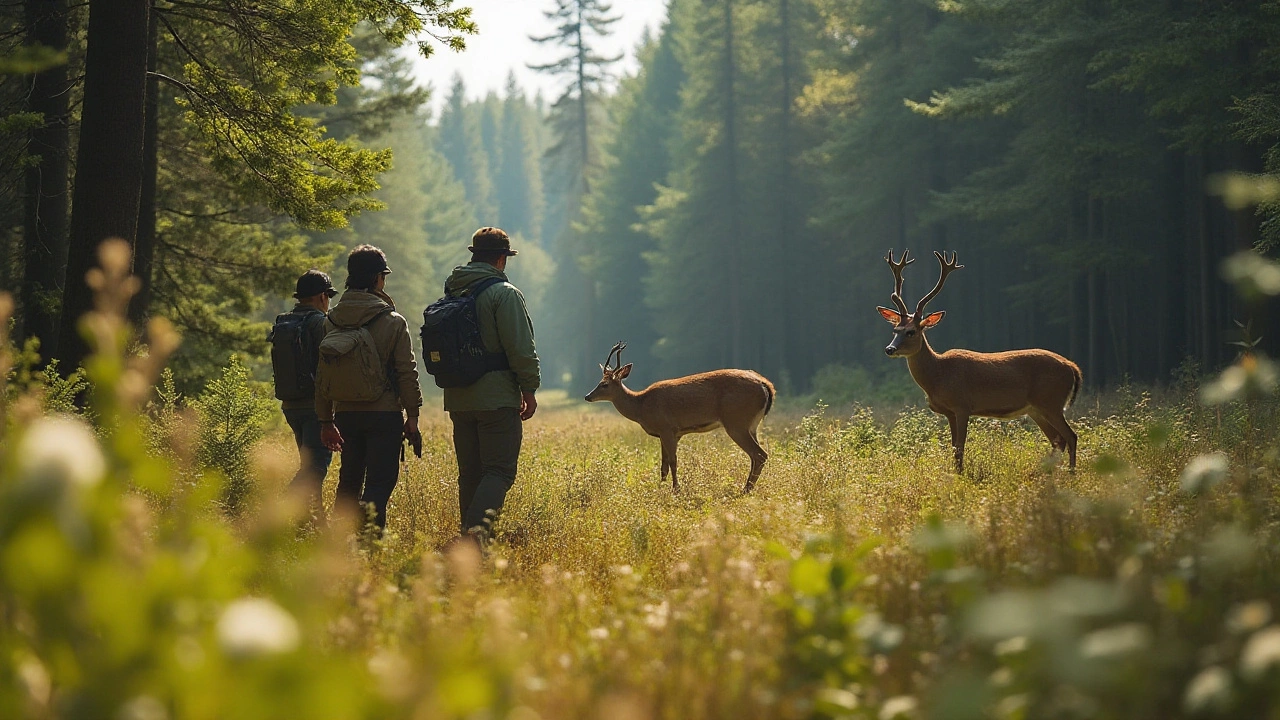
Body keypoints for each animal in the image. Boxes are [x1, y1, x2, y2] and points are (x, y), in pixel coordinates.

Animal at [586, 343, 773, 491]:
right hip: (751, 425)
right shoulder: (669, 434)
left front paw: (676, 489)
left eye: (604, 384)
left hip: (736, 421)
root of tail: (766, 385)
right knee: (756, 456)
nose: (587, 396)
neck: (641, 406)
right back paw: (748, 487)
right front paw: (660, 487)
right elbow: (664, 465)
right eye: (599, 382)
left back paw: (746, 489)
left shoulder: (667, 428)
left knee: (759, 454)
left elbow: (673, 461)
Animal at [875, 248, 1085, 471]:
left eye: (911, 332)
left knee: (1071, 436)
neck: (938, 376)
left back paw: (1071, 473)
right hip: (1036, 409)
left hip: (1051, 401)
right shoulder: (949, 412)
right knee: (1058, 440)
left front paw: (960, 475)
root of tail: (1073, 367)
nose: (889, 349)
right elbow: (953, 448)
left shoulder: (962, 405)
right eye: (895, 330)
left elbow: (960, 447)